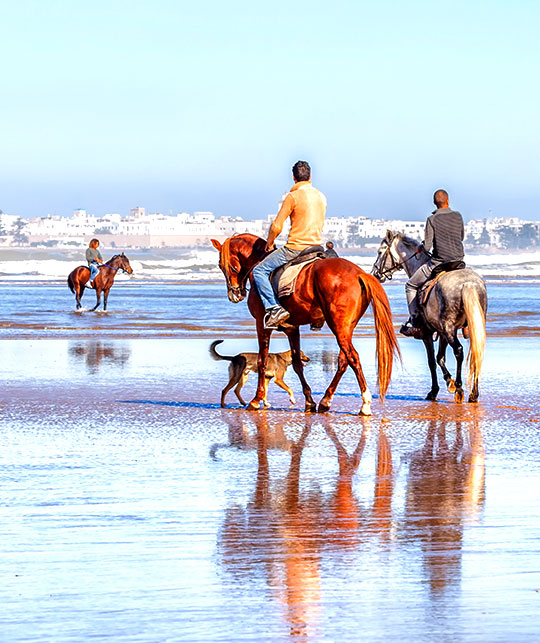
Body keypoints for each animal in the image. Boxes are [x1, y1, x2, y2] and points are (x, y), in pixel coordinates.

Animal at [211, 234, 400, 416]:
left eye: (221, 265)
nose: (235, 294)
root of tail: (359, 273)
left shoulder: (262, 325)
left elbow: (262, 361)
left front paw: (257, 400)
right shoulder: (292, 329)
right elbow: (297, 364)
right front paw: (309, 401)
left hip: (338, 326)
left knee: (353, 358)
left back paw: (365, 403)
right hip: (346, 328)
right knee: (343, 360)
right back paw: (325, 400)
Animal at [374, 230, 488, 402]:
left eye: (380, 252)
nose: (375, 273)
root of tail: (468, 283)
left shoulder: (427, 333)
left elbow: (431, 361)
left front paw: (435, 391)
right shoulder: (441, 332)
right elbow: (440, 358)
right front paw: (449, 381)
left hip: (449, 329)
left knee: (459, 351)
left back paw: (460, 388)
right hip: (470, 326)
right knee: (476, 351)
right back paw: (473, 393)